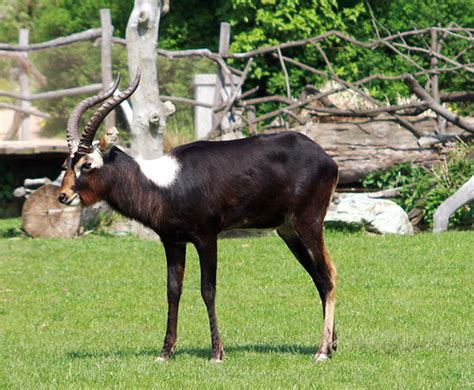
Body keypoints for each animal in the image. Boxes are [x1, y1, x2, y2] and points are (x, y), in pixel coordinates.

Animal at [59, 72, 338, 362]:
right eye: (66, 163)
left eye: (87, 165)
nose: (63, 196)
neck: (163, 184)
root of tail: (325, 158)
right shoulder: (172, 242)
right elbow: (173, 290)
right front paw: (165, 352)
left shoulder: (206, 238)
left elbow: (208, 289)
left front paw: (217, 353)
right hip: (288, 231)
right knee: (318, 278)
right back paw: (331, 345)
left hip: (308, 224)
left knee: (329, 275)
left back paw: (321, 352)